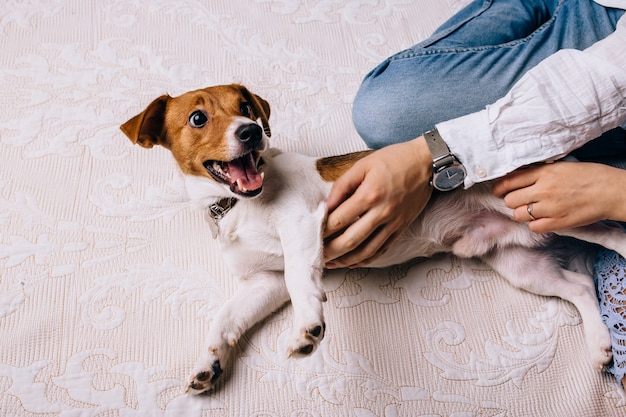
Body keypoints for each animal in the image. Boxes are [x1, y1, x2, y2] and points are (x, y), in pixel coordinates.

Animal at [118, 83, 624, 394]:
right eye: (198, 118)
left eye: (245, 108)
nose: (251, 132)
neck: (238, 206)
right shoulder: (263, 282)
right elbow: (223, 321)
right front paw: (208, 366)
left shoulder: (301, 228)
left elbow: (303, 280)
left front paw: (308, 328)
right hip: (518, 262)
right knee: (580, 286)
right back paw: (600, 345)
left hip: (548, 210)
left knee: (610, 233)